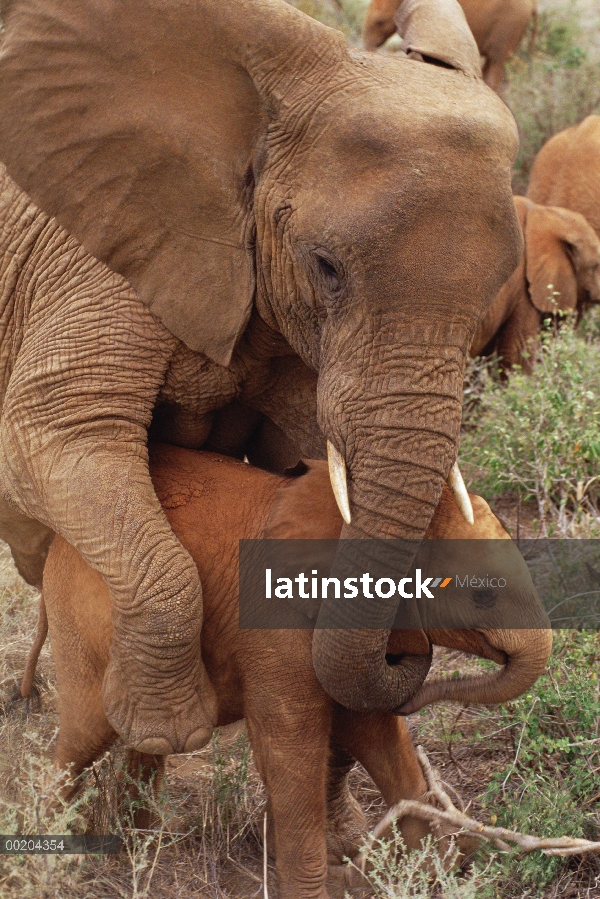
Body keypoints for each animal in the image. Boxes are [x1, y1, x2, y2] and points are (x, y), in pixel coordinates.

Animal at [0, 0, 520, 756]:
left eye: (501, 283)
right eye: (325, 266)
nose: (409, 661)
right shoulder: (103, 256)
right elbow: (53, 434)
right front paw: (165, 732)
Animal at [21, 448, 552, 899]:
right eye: (481, 596)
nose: (413, 682)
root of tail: (57, 544)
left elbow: (371, 727)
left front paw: (432, 867)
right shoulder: (278, 625)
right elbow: (291, 744)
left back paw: (138, 846)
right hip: (84, 619)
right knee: (83, 735)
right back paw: (51, 857)